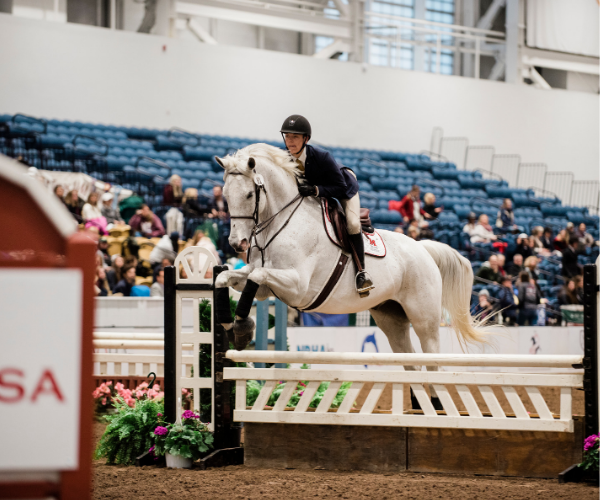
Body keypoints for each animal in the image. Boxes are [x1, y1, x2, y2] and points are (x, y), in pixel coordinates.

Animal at [214, 143, 488, 396]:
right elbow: (225, 277)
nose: (237, 244)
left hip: (425, 319)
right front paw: (230, 325)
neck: (280, 222)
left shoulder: (298, 287)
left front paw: (241, 329)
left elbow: (256, 274)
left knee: (432, 365)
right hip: (391, 318)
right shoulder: (265, 290)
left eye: (249, 195)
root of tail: (423, 248)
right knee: (412, 366)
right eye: (225, 195)